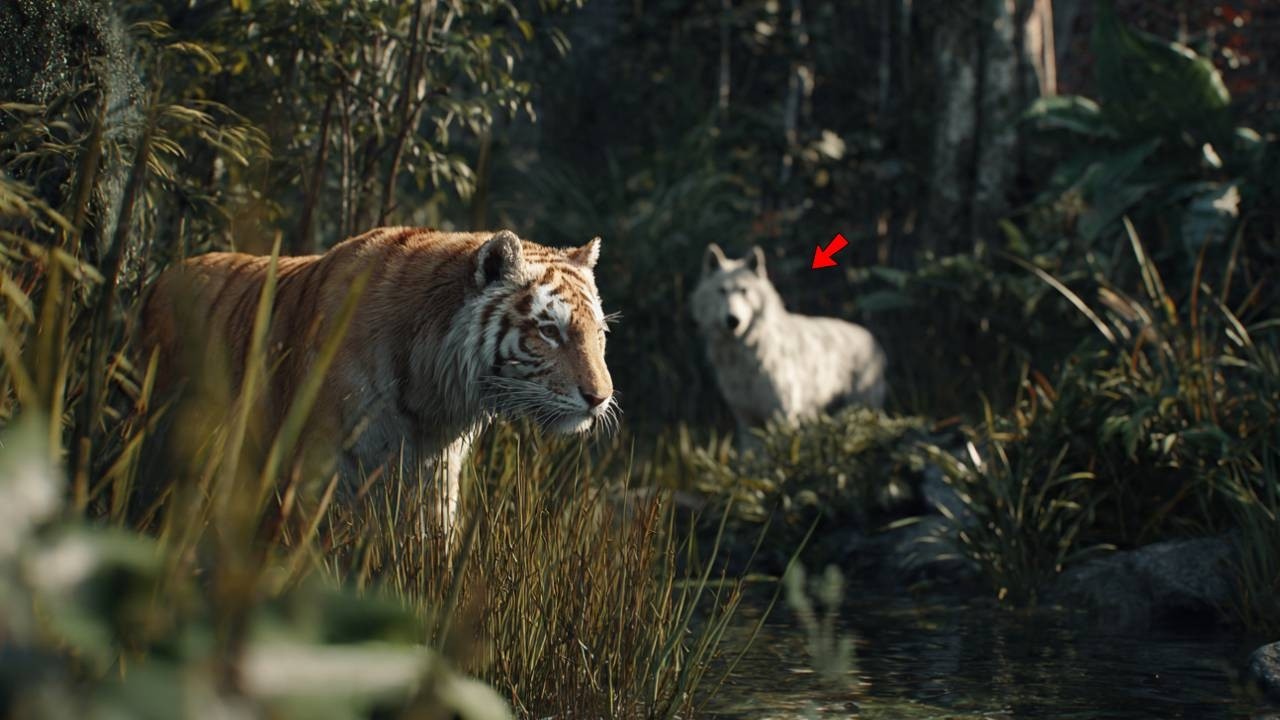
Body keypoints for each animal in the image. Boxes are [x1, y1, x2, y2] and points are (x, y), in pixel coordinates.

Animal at [139, 227, 617, 532]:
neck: (435, 396)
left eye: (599, 333)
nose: (599, 398)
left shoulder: (437, 478)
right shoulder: (319, 469)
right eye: (549, 331)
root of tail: (162, 276)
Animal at [691, 243, 886, 448]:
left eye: (744, 291)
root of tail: (873, 340)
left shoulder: (783, 416)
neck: (743, 354)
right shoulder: (747, 420)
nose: (733, 320)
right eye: (721, 291)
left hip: (861, 411)